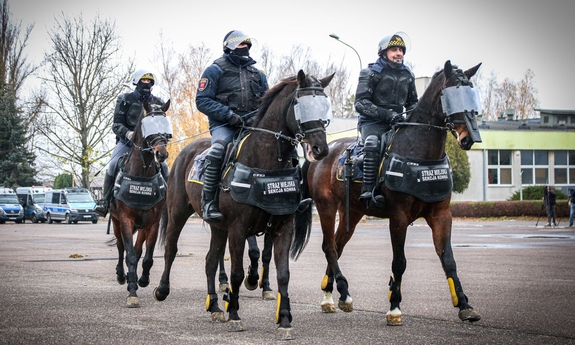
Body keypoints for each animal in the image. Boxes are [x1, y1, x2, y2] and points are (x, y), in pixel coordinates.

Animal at [110, 99, 172, 306]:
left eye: (165, 124)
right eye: (148, 124)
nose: (161, 153)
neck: (142, 174)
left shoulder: (153, 223)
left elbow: (146, 257)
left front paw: (142, 280)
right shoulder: (125, 220)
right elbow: (128, 255)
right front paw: (132, 292)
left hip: (143, 226)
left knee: (138, 251)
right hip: (116, 223)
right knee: (121, 247)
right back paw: (122, 276)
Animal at [155, 70, 336, 338]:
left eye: (324, 106)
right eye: (300, 104)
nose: (320, 149)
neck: (265, 165)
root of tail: (185, 152)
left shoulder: (283, 228)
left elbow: (283, 274)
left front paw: (284, 320)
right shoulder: (238, 229)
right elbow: (237, 273)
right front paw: (235, 315)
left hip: (218, 227)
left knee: (210, 261)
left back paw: (214, 307)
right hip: (177, 213)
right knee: (170, 249)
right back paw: (162, 289)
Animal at [296, 60, 486, 324]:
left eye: (470, 94)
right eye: (451, 96)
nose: (470, 137)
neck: (419, 153)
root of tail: (321, 153)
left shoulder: (441, 215)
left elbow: (448, 260)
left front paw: (465, 305)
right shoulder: (398, 217)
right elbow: (399, 262)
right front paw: (394, 306)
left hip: (352, 212)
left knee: (338, 245)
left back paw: (329, 295)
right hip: (326, 207)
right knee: (329, 247)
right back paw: (341, 295)